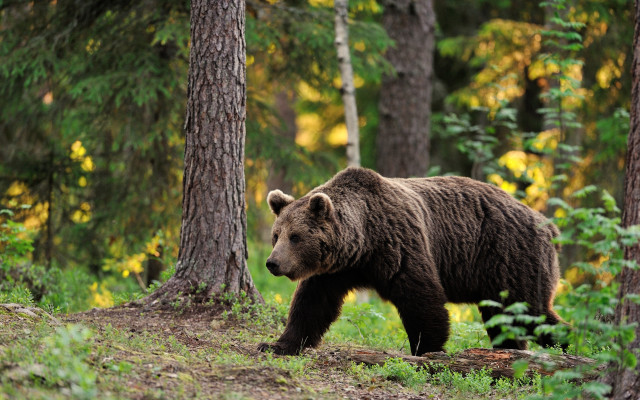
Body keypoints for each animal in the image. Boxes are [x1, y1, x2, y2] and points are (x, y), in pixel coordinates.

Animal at [257, 167, 563, 356]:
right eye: (276, 235)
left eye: (295, 237)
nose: (273, 263)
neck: (363, 242)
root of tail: (547, 225)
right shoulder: (334, 271)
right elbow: (312, 305)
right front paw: (277, 345)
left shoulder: (399, 245)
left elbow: (421, 297)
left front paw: (427, 349)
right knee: (506, 318)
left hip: (509, 257)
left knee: (529, 311)